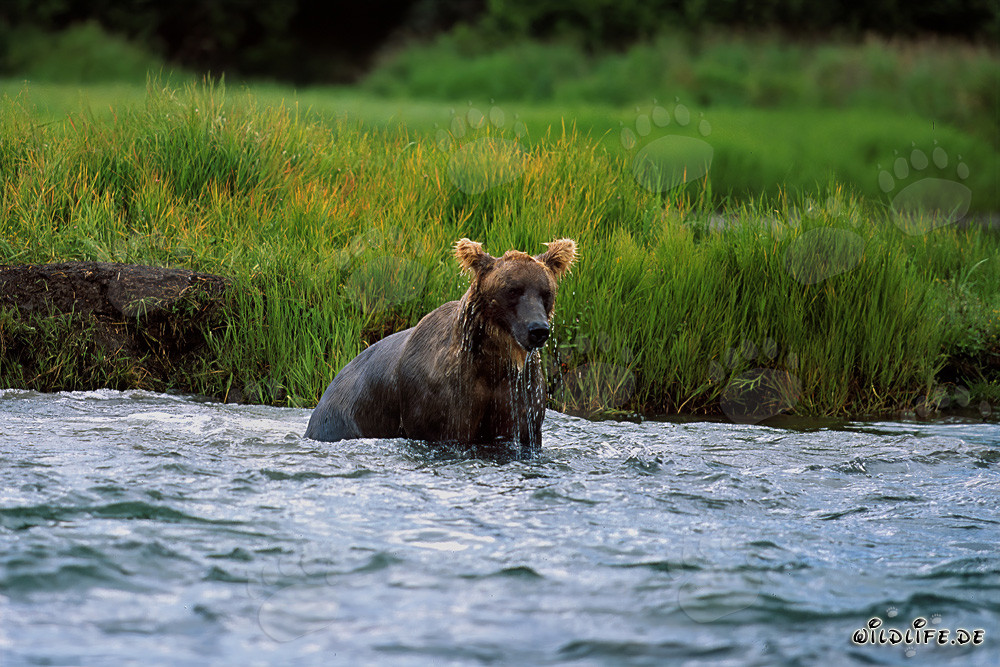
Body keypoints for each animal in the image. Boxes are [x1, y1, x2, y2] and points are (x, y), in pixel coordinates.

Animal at [305, 237, 577, 458]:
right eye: (512, 290)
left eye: (546, 292)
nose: (538, 329)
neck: (492, 361)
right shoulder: (442, 400)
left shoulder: (518, 394)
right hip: (343, 418)